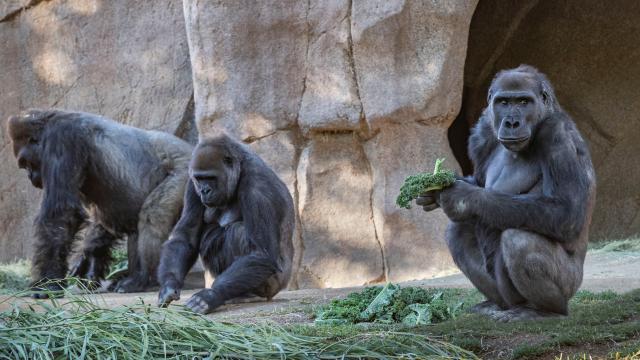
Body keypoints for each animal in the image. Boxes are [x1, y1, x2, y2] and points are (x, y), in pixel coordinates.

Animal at [6, 110, 192, 298]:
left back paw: (142, 278)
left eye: (26, 162)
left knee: (152, 215)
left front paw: (47, 283)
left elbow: (61, 214)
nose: (30, 176)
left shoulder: (62, 138)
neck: (48, 124)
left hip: (185, 170)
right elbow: (104, 218)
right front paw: (88, 258)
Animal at [158, 134, 296, 314]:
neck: (240, 169)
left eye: (211, 178)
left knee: (238, 232)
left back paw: (250, 294)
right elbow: (185, 238)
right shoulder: (191, 185)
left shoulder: (258, 187)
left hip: (274, 285)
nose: (204, 191)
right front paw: (169, 286)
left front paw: (211, 295)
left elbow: (260, 253)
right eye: (200, 178)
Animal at [418, 65, 596, 324]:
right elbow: (478, 181)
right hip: (504, 296)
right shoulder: (483, 132)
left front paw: (462, 197)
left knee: (519, 240)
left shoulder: (557, 133)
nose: (511, 122)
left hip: (572, 284)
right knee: (458, 232)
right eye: (503, 102)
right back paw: (495, 304)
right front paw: (434, 191)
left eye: (523, 101)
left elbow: (566, 210)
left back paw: (543, 310)